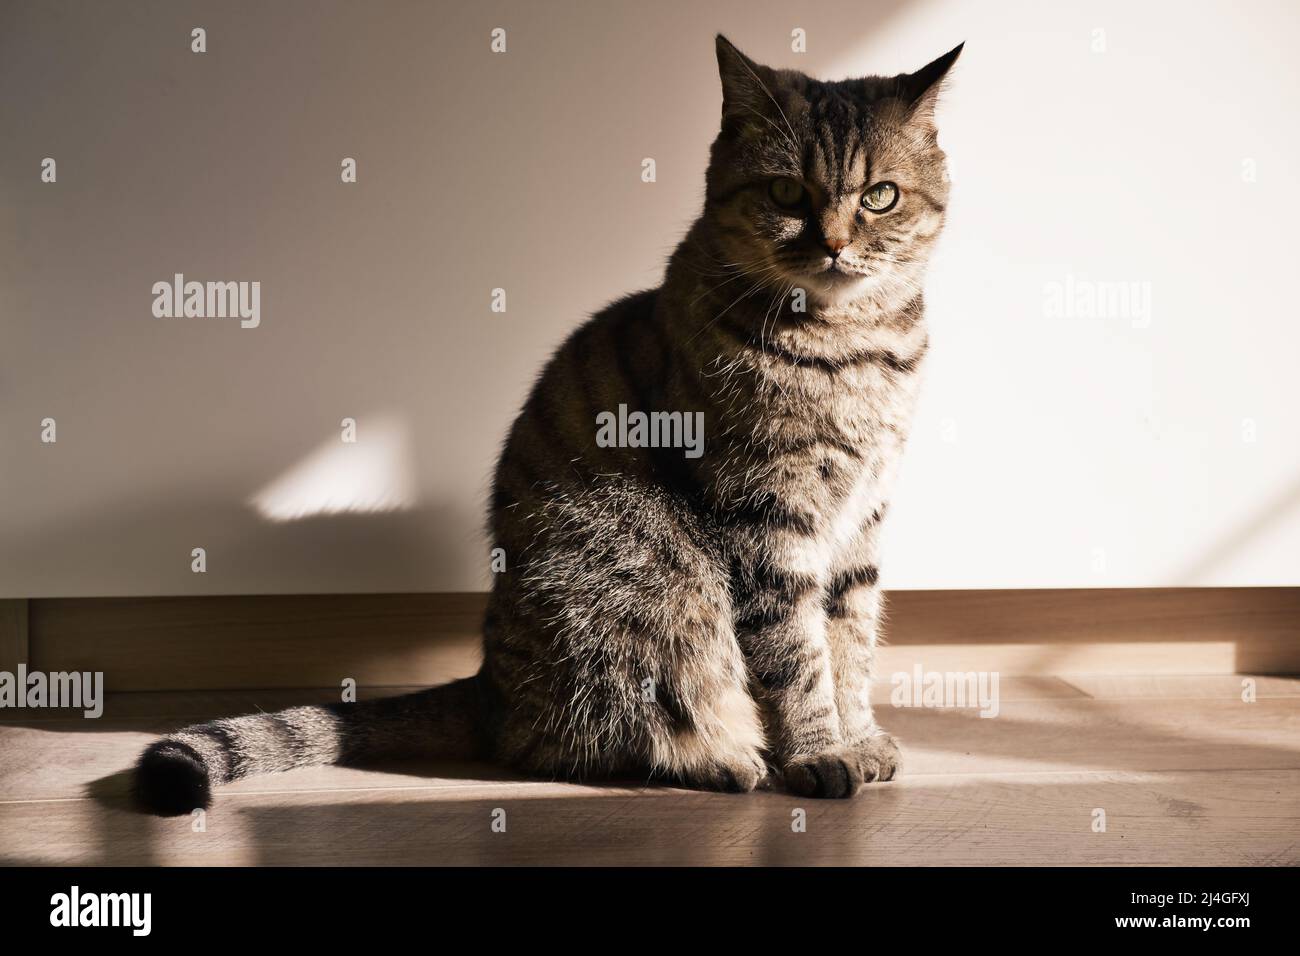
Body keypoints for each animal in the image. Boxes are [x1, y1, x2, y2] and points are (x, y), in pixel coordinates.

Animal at [137, 37, 961, 816]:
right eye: (787, 190)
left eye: (881, 196)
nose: (835, 243)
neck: (854, 346)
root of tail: (486, 684)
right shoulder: (765, 518)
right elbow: (797, 655)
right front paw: (820, 753)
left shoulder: (862, 520)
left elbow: (851, 639)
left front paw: (859, 738)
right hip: (646, 599)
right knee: (567, 741)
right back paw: (718, 760)